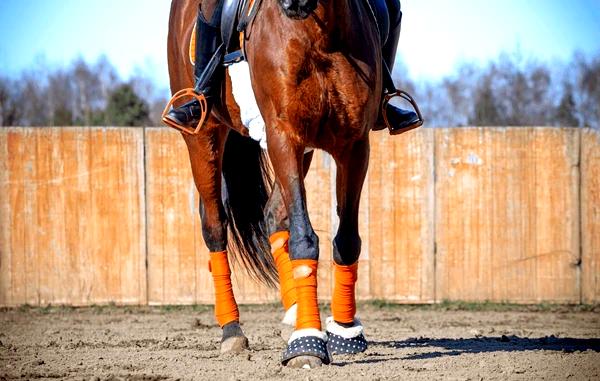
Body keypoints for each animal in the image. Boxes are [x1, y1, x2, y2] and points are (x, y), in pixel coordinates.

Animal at [166, 0, 390, 366]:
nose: (293, 3)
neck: (319, 34)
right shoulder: (283, 135)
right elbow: (304, 238)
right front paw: (306, 343)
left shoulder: (354, 144)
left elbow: (346, 240)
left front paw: (344, 332)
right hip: (203, 135)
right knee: (214, 226)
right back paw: (232, 330)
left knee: (274, 215)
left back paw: (297, 308)